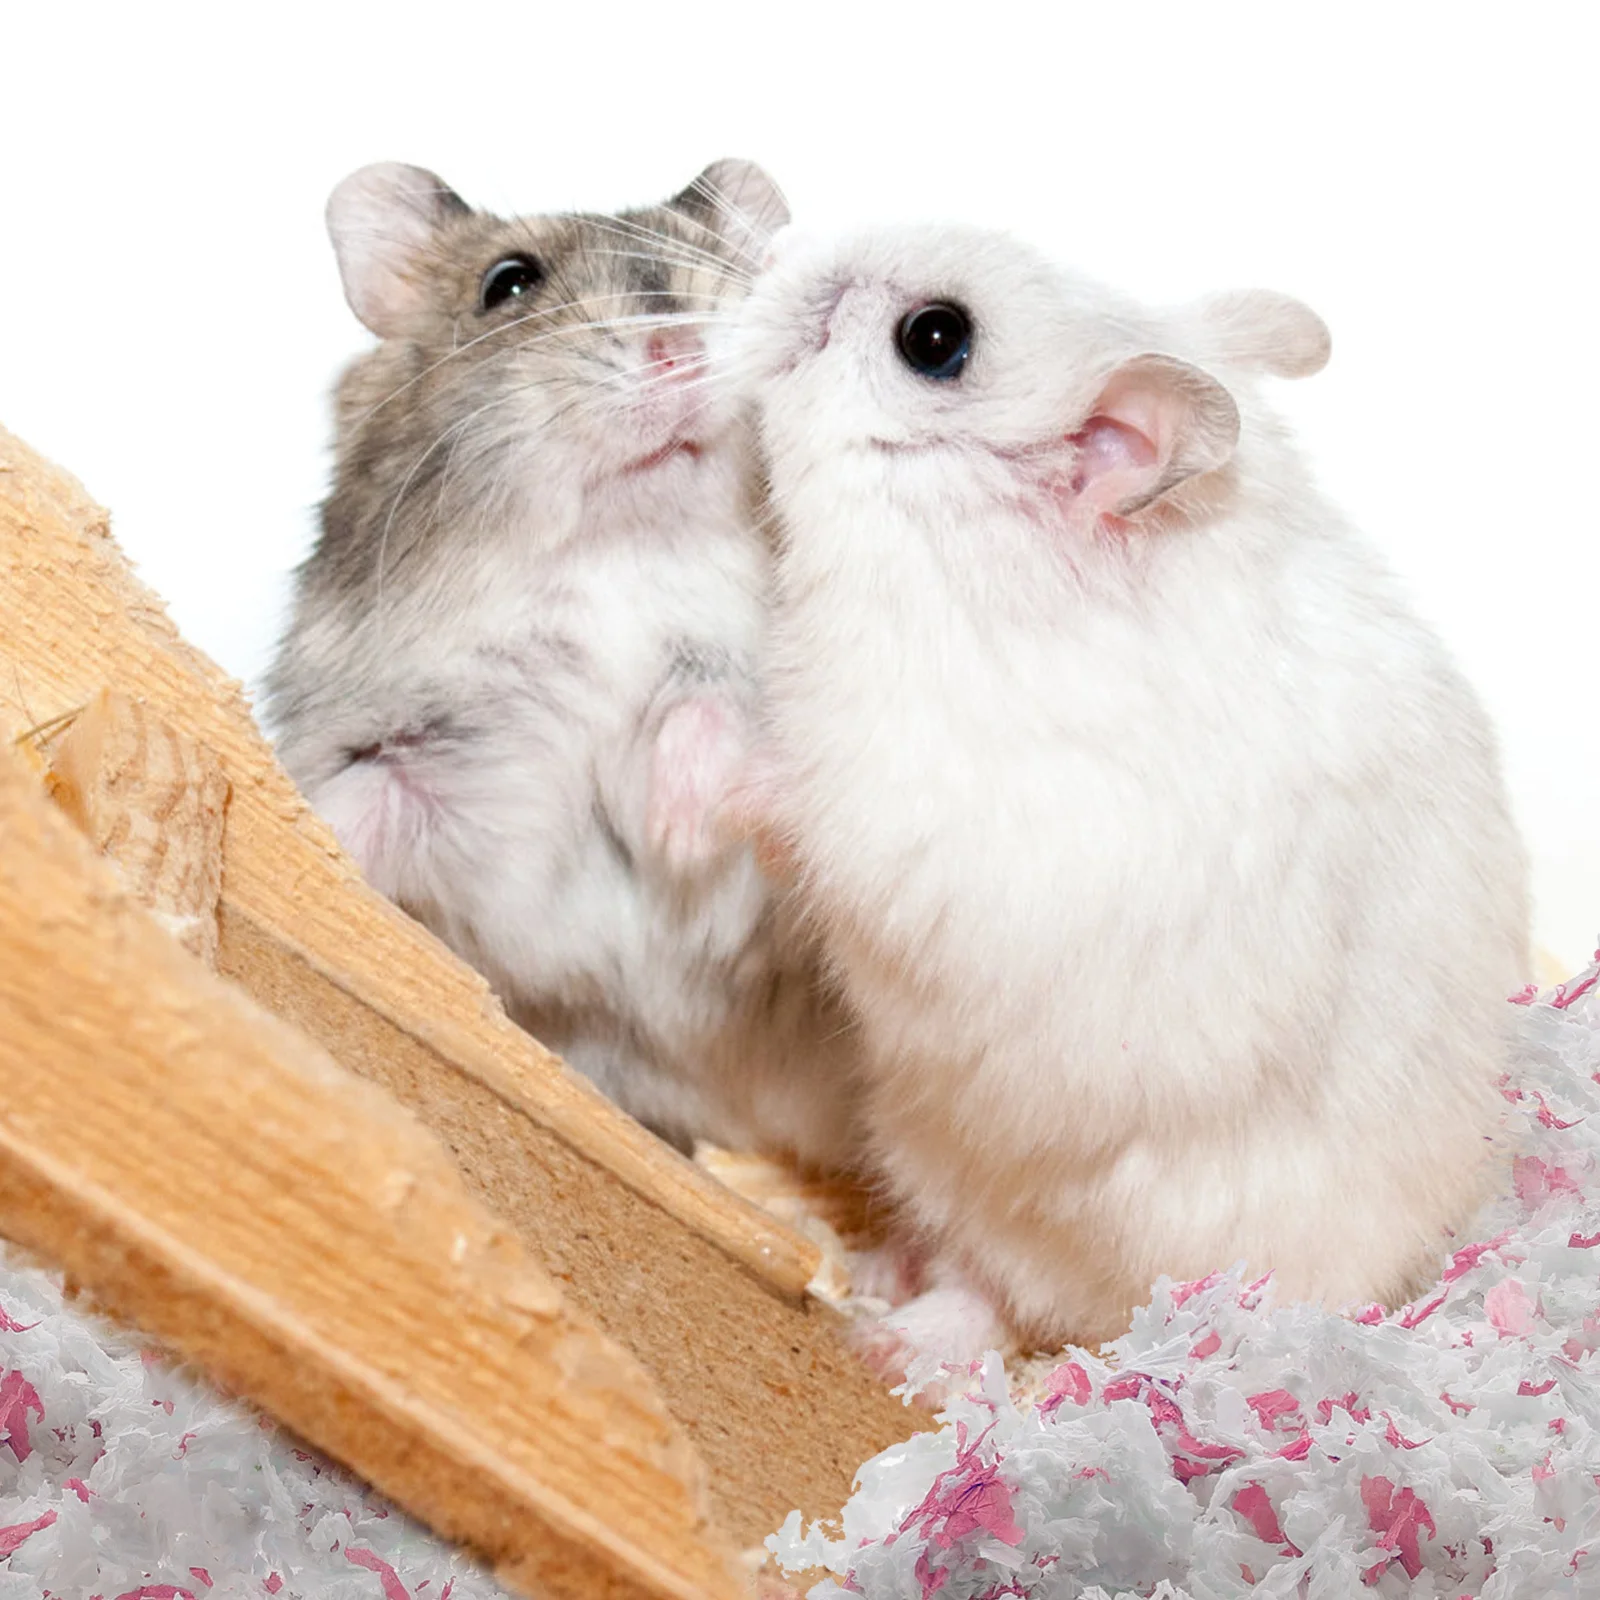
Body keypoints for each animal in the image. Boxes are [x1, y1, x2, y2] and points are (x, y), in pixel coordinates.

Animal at [265, 161, 860, 1164]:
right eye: (508, 283)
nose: (680, 348)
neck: (621, 559)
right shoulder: (416, 744)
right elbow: (364, 798)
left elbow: (717, 708)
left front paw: (677, 827)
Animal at [733, 224, 1531, 1367]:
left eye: (934, 340)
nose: (784, 251)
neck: (964, 556)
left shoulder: (910, 806)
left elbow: (790, 800)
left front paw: (682, 761)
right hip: (928, 1142)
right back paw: (880, 1276)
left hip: (1045, 1206)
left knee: (996, 1297)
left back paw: (893, 1344)